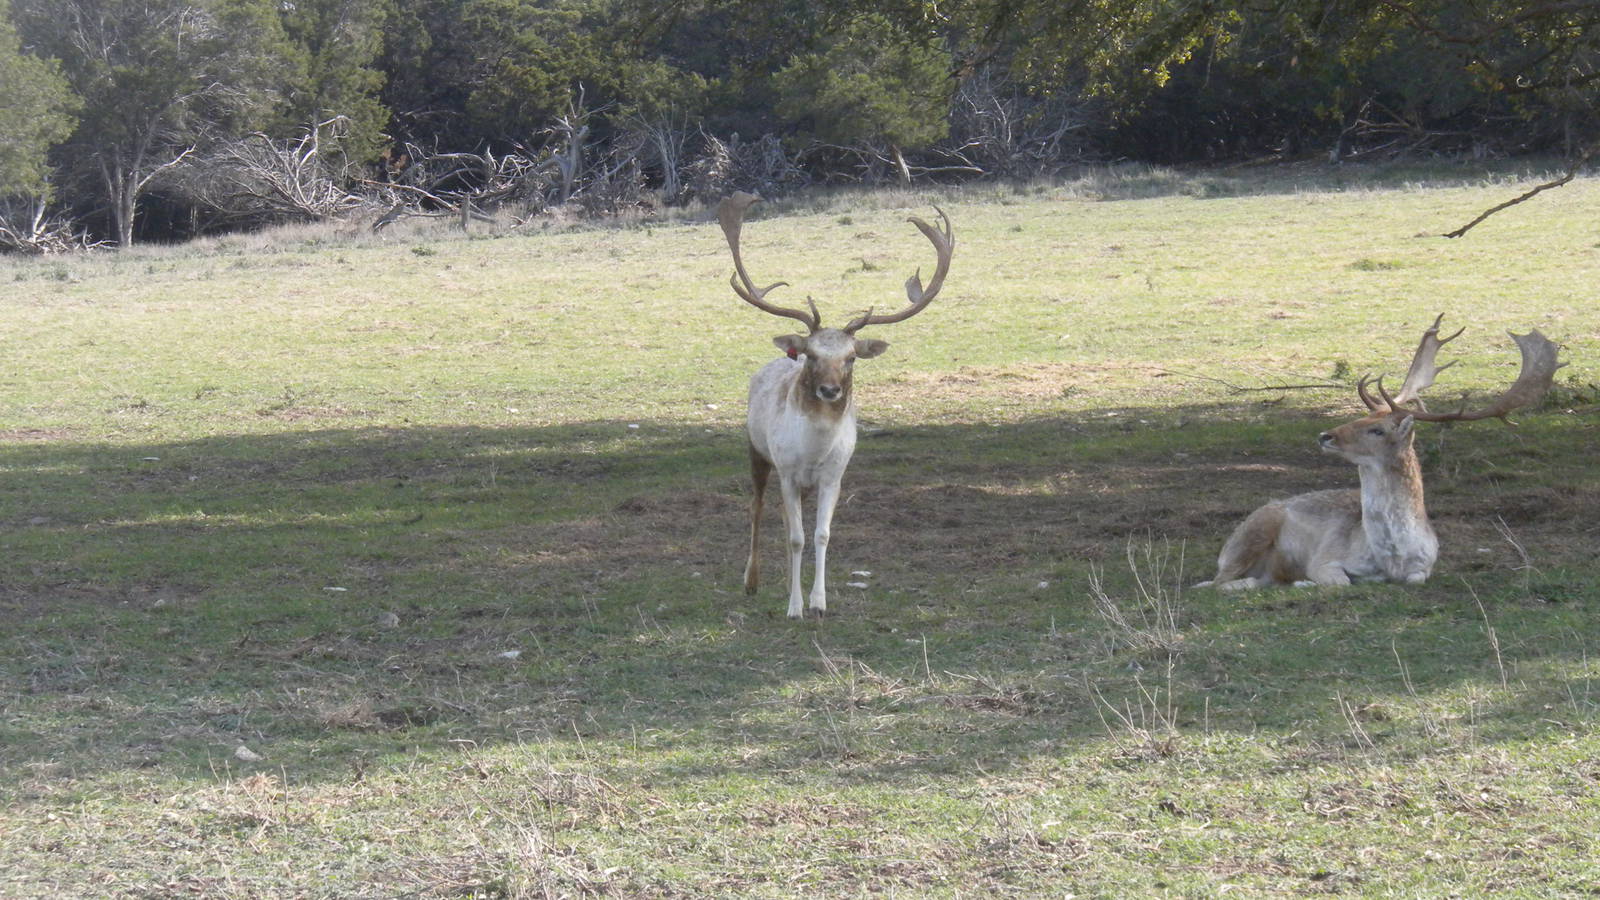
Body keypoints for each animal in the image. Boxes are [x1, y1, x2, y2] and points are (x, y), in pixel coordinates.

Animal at [717, 192, 954, 618]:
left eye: (852, 357)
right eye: (811, 355)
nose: (829, 390)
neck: (814, 450)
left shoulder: (833, 475)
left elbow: (821, 534)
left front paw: (818, 602)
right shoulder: (788, 471)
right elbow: (796, 537)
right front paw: (794, 608)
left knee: (784, 518)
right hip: (757, 452)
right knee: (757, 508)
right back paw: (752, 581)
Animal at [1196, 314, 1563, 591]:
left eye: (1377, 429)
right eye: (1361, 417)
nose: (1325, 435)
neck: (1391, 558)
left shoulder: (1425, 566)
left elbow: (1414, 579)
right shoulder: (1325, 559)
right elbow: (1340, 581)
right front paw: (1303, 582)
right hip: (1252, 533)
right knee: (1216, 582)